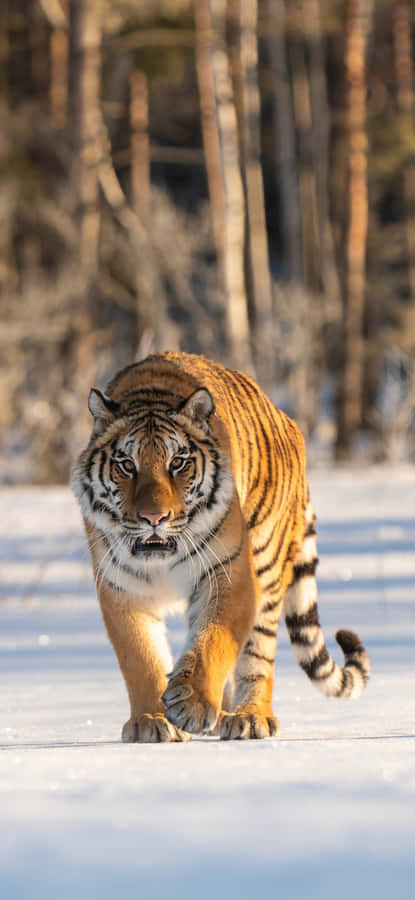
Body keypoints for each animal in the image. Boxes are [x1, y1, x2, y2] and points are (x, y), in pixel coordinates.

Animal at [72, 351, 370, 743]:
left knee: (257, 655)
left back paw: (249, 717)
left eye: (177, 462)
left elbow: (213, 641)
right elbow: (141, 657)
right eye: (126, 465)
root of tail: (288, 421)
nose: (154, 517)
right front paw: (151, 721)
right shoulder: (121, 588)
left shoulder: (230, 574)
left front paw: (193, 704)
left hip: (267, 568)